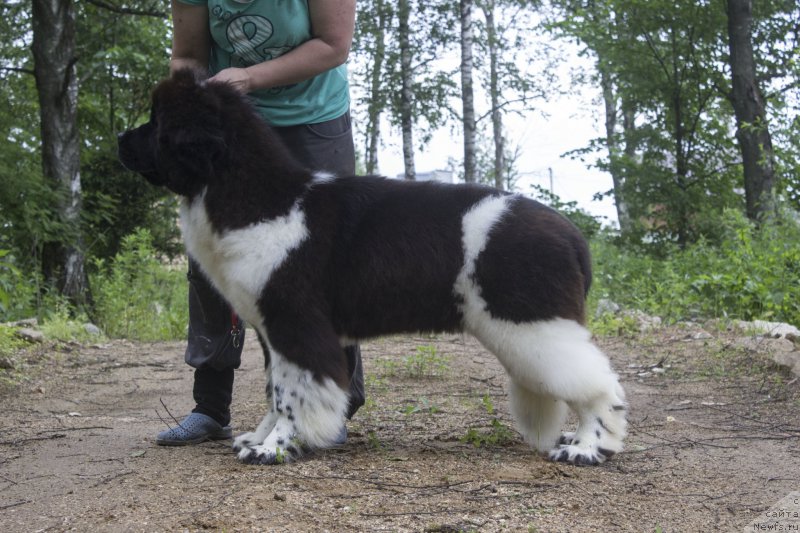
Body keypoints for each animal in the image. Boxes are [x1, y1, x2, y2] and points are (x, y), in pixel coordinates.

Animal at [119, 69, 628, 466]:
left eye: (157, 122)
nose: (121, 139)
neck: (261, 197)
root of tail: (571, 234)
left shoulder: (296, 324)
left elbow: (291, 393)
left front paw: (277, 447)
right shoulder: (271, 329)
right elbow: (273, 389)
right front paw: (261, 438)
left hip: (531, 323)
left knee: (597, 385)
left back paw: (586, 447)